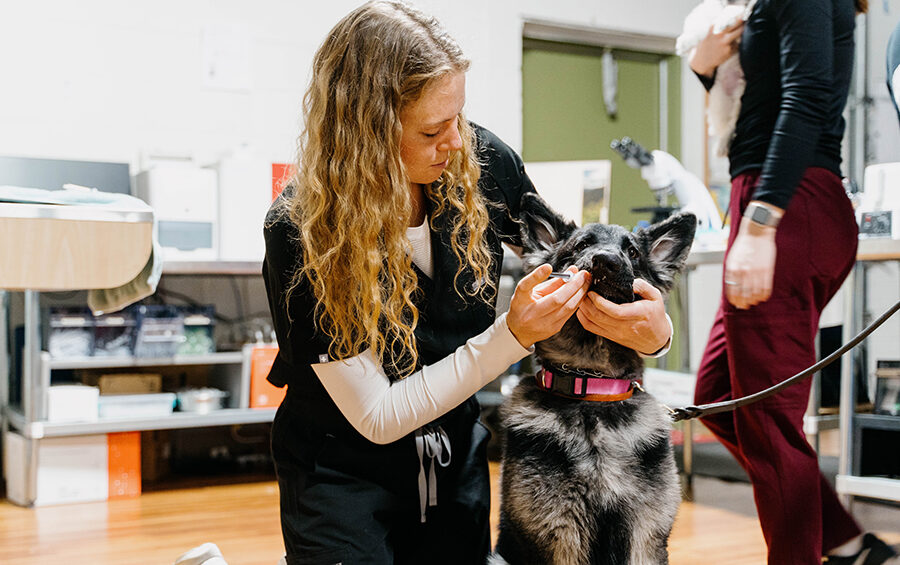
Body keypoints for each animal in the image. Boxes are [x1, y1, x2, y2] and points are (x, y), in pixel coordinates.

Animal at [492, 192, 696, 560]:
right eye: (582, 245)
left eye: (632, 252)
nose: (606, 261)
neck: (592, 389)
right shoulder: (561, 538)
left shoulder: (645, 538)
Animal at [680, 0, 756, 155]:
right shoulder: (706, 12)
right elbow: (696, 24)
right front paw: (684, 43)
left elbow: (736, 10)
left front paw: (725, 21)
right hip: (720, 102)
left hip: (738, 100)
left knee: (731, 126)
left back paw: (722, 146)